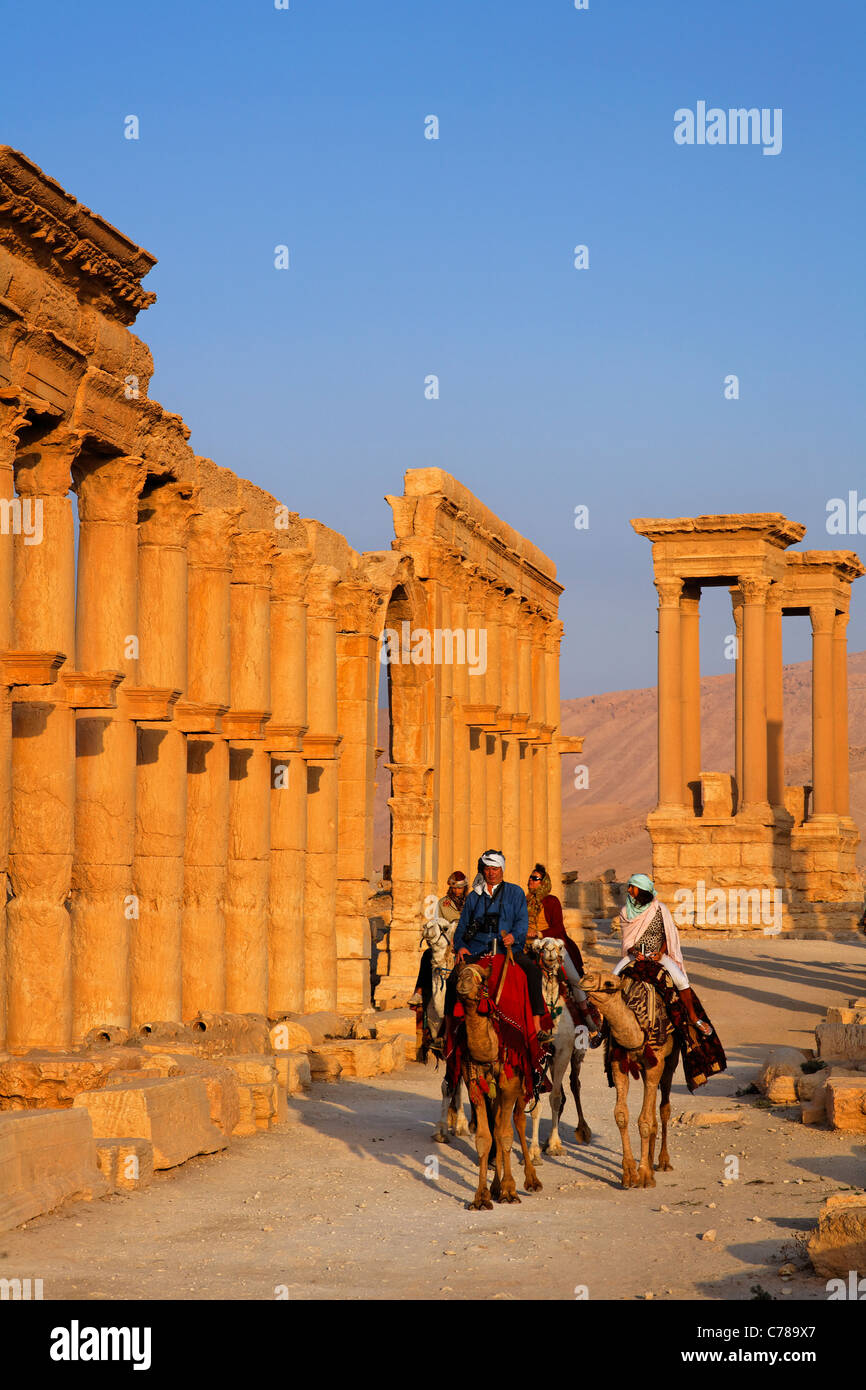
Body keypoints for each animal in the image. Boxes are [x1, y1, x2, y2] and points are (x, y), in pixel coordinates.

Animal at [453, 961, 542, 1212]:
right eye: (458, 973)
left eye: (481, 979)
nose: (463, 981)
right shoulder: (474, 1083)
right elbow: (485, 1137)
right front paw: (481, 1197)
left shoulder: (510, 1083)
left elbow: (505, 1134)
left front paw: (510, 1191)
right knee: (497, 1122)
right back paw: (495, 1187)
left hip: (523, 1084)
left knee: (518, 1121)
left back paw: (531, 1180)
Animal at [525, 934, 592, 1162]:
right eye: (539, 947)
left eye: (560, 945)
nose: (551, 951)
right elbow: (534, 1101)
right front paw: (533, 1151)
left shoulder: (563, 1051)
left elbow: (554, 1098)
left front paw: (554, 1145)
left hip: (575, 1054)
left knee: (574, 1084)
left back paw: (583, 1130)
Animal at [578, 973, 681, 1189]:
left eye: (609, 983)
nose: (586, 978)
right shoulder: (619, 1064)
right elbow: (621, 1115)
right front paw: (630, 1174)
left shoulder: (655, 1065)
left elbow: (644, 1120)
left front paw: (644, 1176)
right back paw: (650, 1162)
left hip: (670, 1061)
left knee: (664, 1108)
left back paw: (663, 1162)